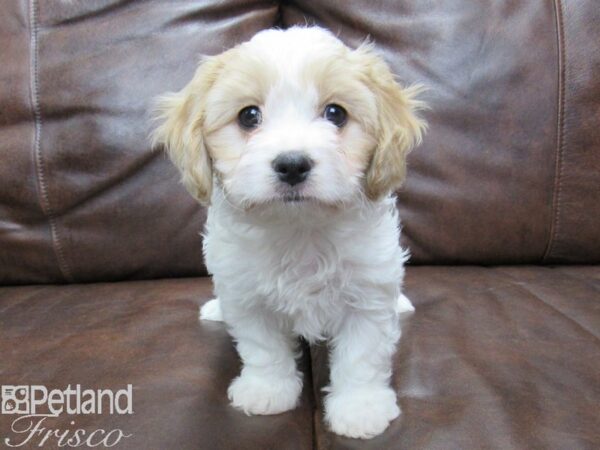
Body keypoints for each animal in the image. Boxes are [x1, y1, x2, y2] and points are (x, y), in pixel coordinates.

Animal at [152, 26, 424, 438]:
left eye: (335, 113)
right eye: (249, 116)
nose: (293, 164)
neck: (300, 229)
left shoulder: (368, 294)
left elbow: (362, 356)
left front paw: (360, 407)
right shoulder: (246, 294)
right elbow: (262, 348)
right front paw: (267, 390)